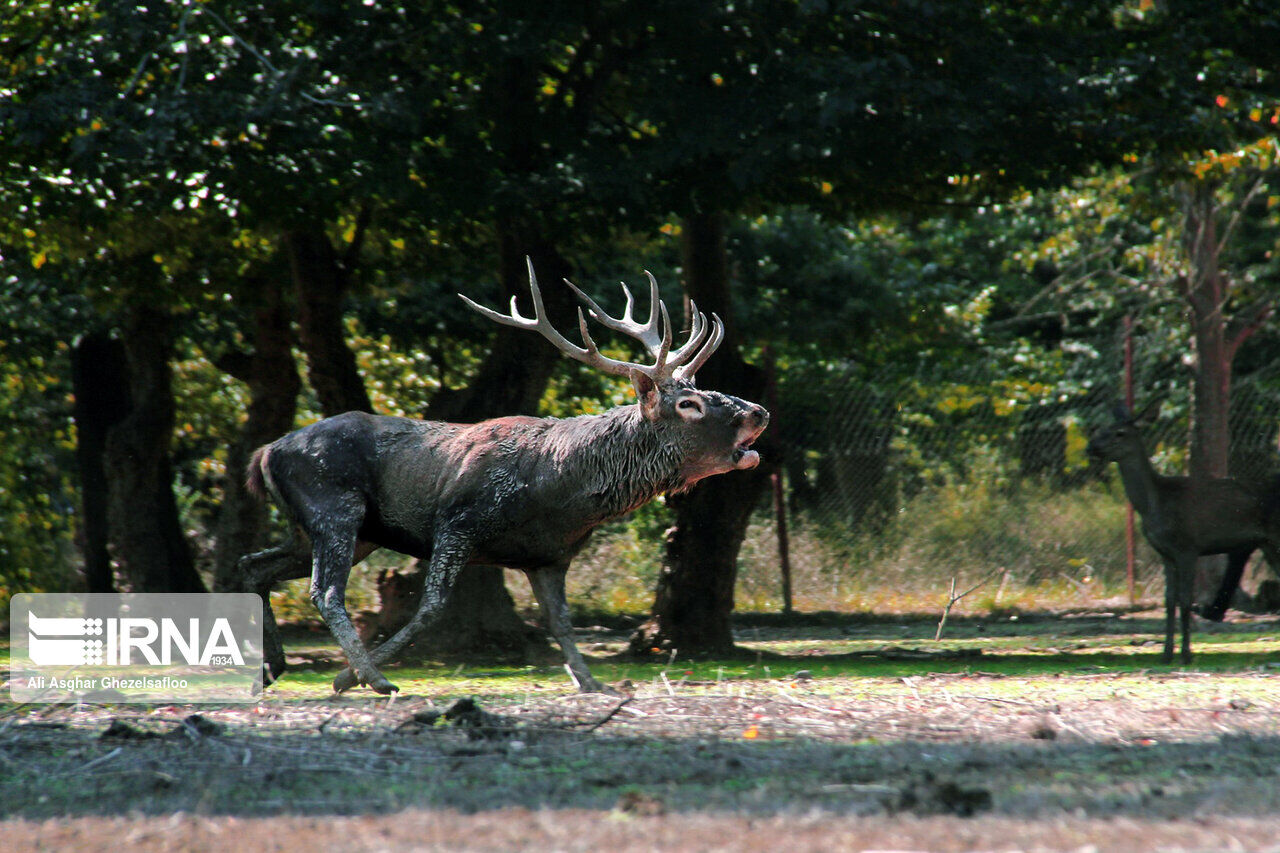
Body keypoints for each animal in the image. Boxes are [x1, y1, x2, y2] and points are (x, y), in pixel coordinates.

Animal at [235, 262, 762, 696]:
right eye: (688, 403)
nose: (759, 411)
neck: (561, 497)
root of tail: (265, 454)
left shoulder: (550, 556)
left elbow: (561, 622)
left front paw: (593, 683)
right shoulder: (458, 521)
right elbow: (431, 607)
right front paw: (348, 678)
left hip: (333, 529)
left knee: (255, 565)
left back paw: (272, 667)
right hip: (334, 506)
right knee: (324, 591)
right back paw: (373, 677)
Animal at [1090, 402, 1280, 660]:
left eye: (1120, 433)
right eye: (1102, 429)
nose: (1091, 446)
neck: (1154, 506)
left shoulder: (1188, 547)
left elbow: (1186, 599)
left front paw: (1187, 654)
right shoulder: (1165, 553)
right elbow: (1170, 600)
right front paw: (1167, 653)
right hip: (1268, 545)